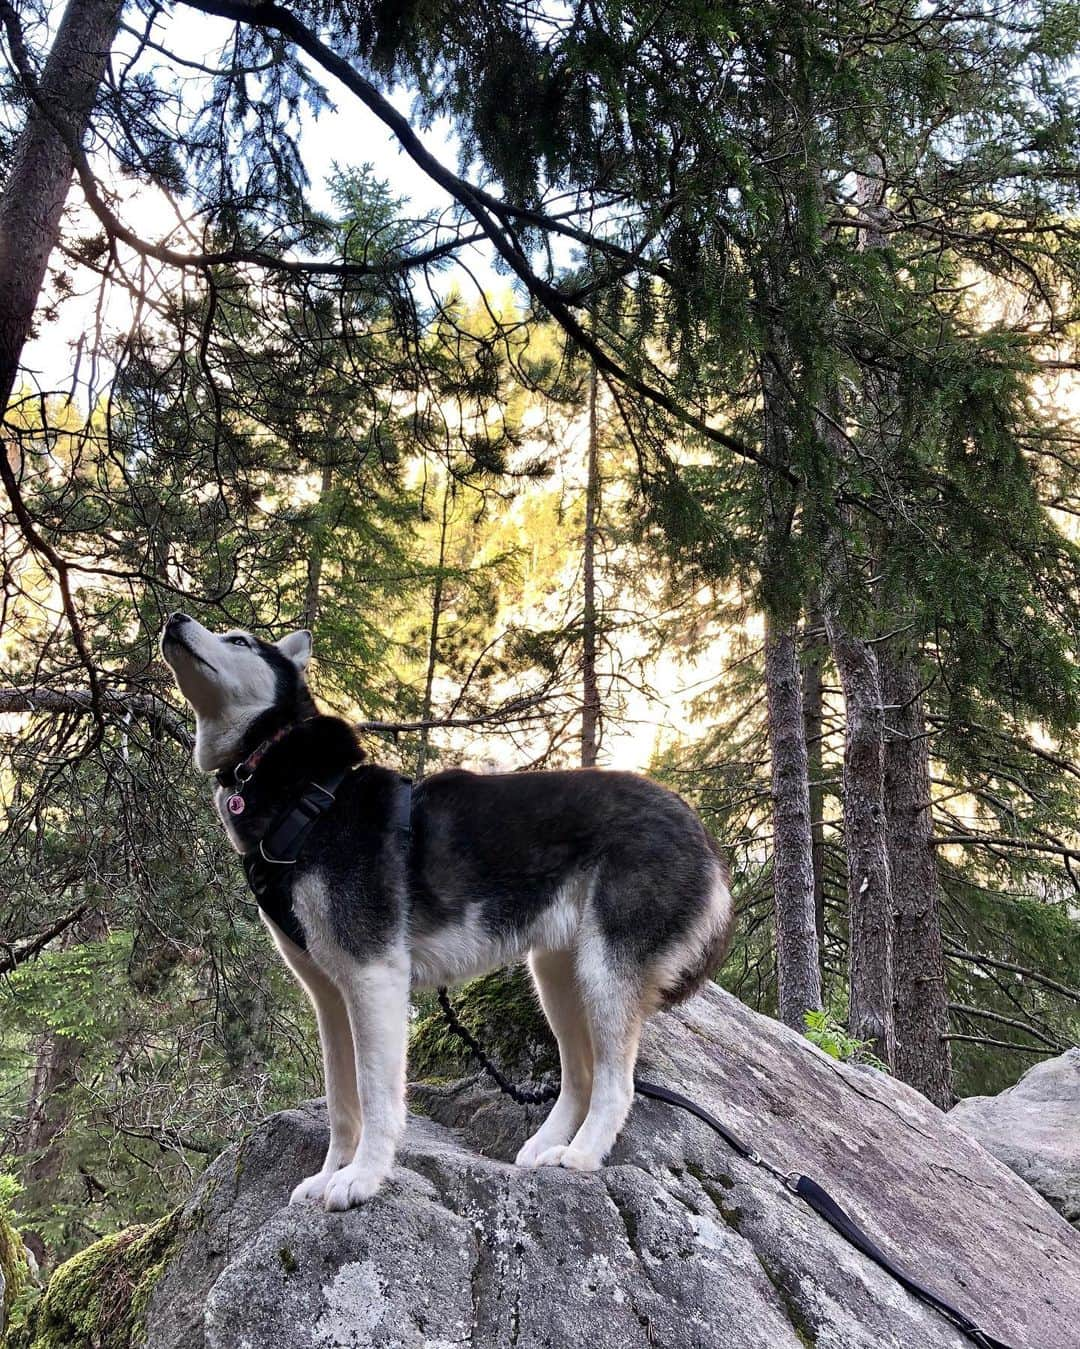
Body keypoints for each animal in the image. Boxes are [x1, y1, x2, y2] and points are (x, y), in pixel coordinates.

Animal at [160, 612, 733, 1214]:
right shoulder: (330, 998)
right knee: (579, 1075)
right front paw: (330, 1173)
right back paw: (546, 1147)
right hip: (556, 977)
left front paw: (364, 1177)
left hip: (604, 975)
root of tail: (699, 830)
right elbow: (342, 1104)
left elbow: (376, 1098)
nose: (173, 618)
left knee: (615, 1084)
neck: (303, 795)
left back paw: (580, 1156)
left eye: (240, 641)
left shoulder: (374, 979)